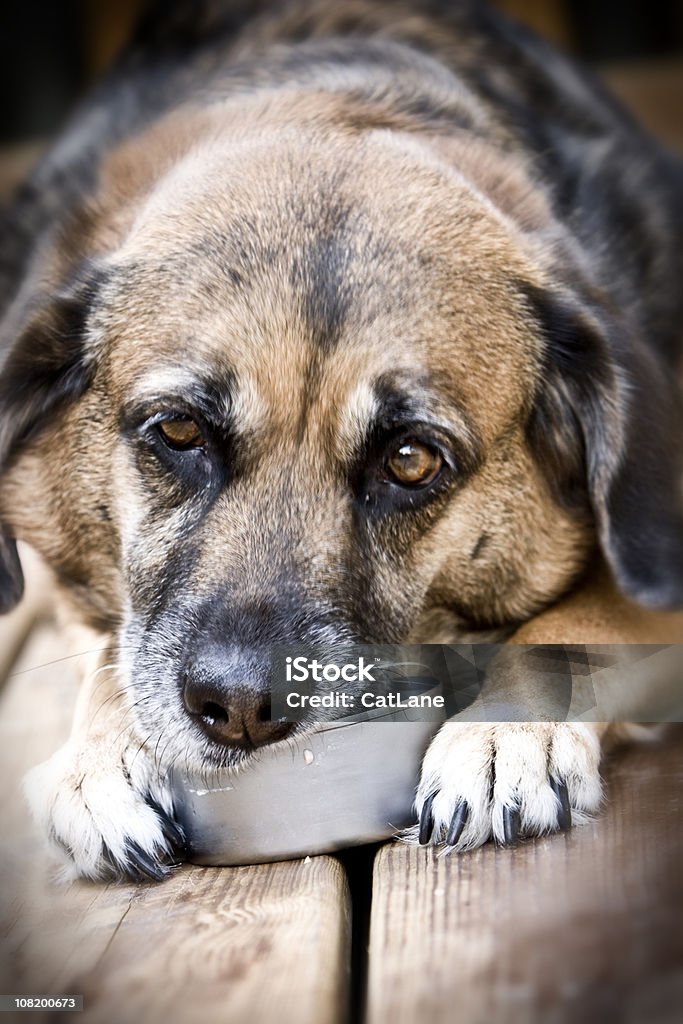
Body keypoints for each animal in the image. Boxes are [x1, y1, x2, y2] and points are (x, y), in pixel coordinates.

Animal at [1, 0, 683, 880]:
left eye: (410, 460)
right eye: (178, 428)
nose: (239, 708)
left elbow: (575, 624)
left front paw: (505, 735)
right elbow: (114, 644)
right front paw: (101, 759)